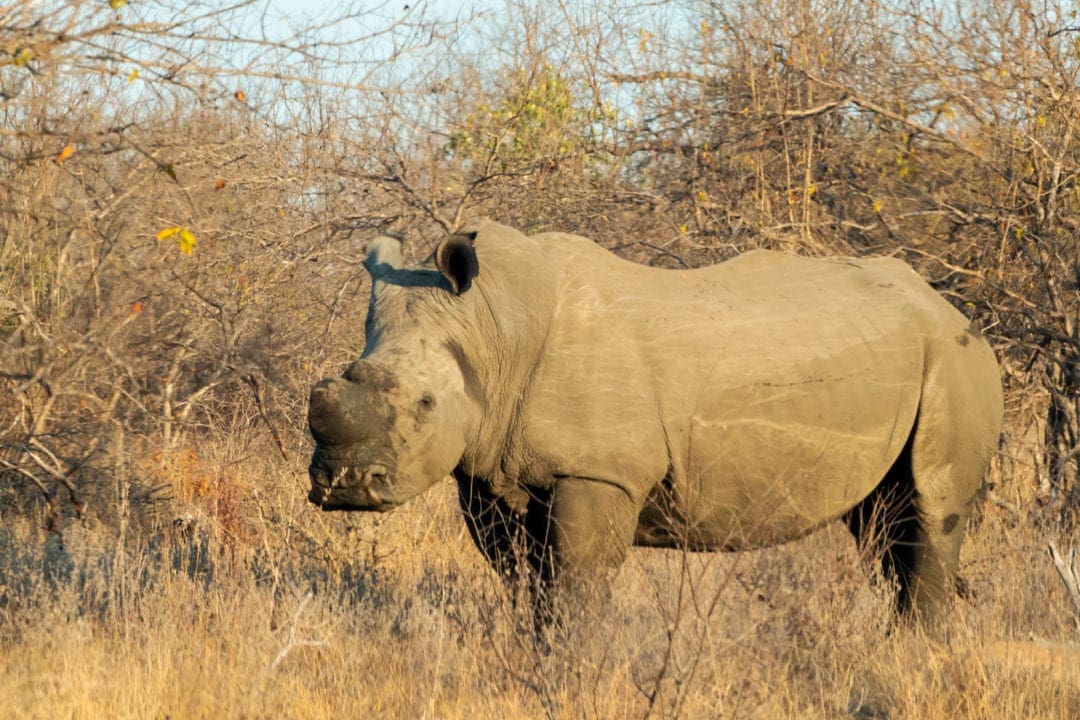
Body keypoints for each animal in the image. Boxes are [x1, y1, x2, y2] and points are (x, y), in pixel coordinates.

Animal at [306, 220, 1002, 626]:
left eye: (426, 405)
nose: (344, 487)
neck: (493, 328)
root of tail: (951, 307)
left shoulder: (597, 470)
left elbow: (576, 584)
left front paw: (570, 672)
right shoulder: (489, 467)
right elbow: (523, 581)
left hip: (955, 360)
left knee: (930, 507)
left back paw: (915, 653)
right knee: (882, 523)